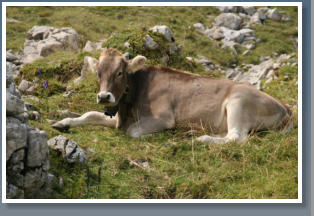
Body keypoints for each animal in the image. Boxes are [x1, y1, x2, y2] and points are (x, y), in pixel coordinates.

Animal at [52, 48, 294, 143]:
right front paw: (63, 122)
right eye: (98, 73)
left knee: (236, 137)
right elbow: (90, 114)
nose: (104, 97)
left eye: (120, 72)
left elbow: (133, 132)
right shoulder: (118, 117)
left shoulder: (162, 118)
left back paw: (201, 139)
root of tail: (286, 107)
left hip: (239, 101)